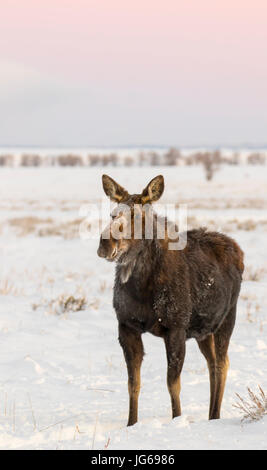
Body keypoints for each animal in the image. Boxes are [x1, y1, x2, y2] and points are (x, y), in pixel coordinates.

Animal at [97, 175, 244, 426]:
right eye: (112, 214)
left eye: (138, 216)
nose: (106, 244)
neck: (142, 287)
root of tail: (238, 250)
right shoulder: (126, 326)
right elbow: (133, 384)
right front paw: (131, 423)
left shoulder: (176, 328)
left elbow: (172, 384)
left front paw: (177, 419)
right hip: (203, 331)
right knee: (213, 364)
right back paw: (211, 415)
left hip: (226, 319)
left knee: (222, 364)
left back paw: (215, 415)